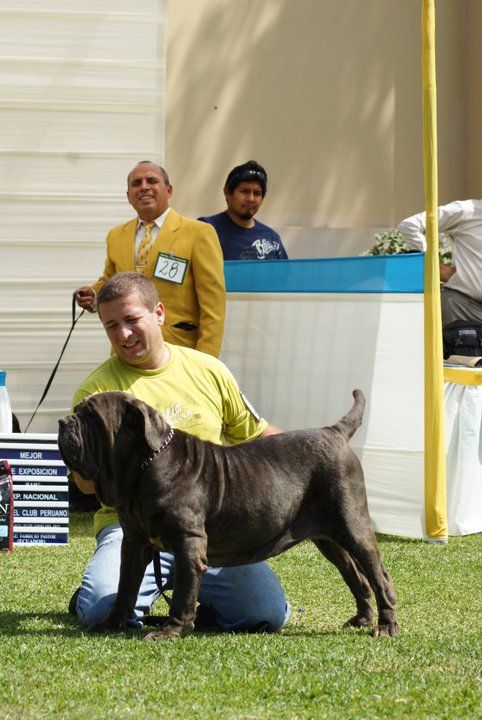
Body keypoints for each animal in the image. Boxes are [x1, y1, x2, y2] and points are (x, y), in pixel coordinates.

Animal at [58, 388, 400, 640]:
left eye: (91, 416)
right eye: (78, 409)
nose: (63, 421)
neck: (144, 467)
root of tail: (335, 431)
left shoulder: (188, 542)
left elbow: (182, 594)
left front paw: (170, 631)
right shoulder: (135, 543)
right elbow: (125, 587)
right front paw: (111, 622)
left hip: (353, 525)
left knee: (378, 576)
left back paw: (385, 626)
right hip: (328, 539)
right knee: (355, 575)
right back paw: (362, 618)